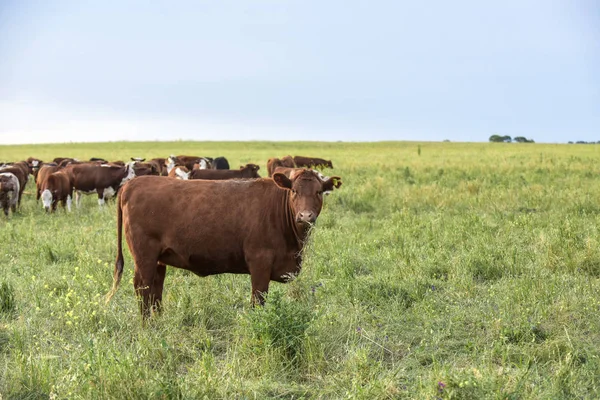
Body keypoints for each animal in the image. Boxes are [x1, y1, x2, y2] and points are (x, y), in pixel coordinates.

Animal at [105, 170, 342, 318]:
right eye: (294, 191)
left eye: (319, 192)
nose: (305, 216)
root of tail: (131, 184)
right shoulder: (260, 263)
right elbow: (258, 301)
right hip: (144, 255)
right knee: (143, 287)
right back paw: (147, 326)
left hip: (159, 259)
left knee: (156, 287)